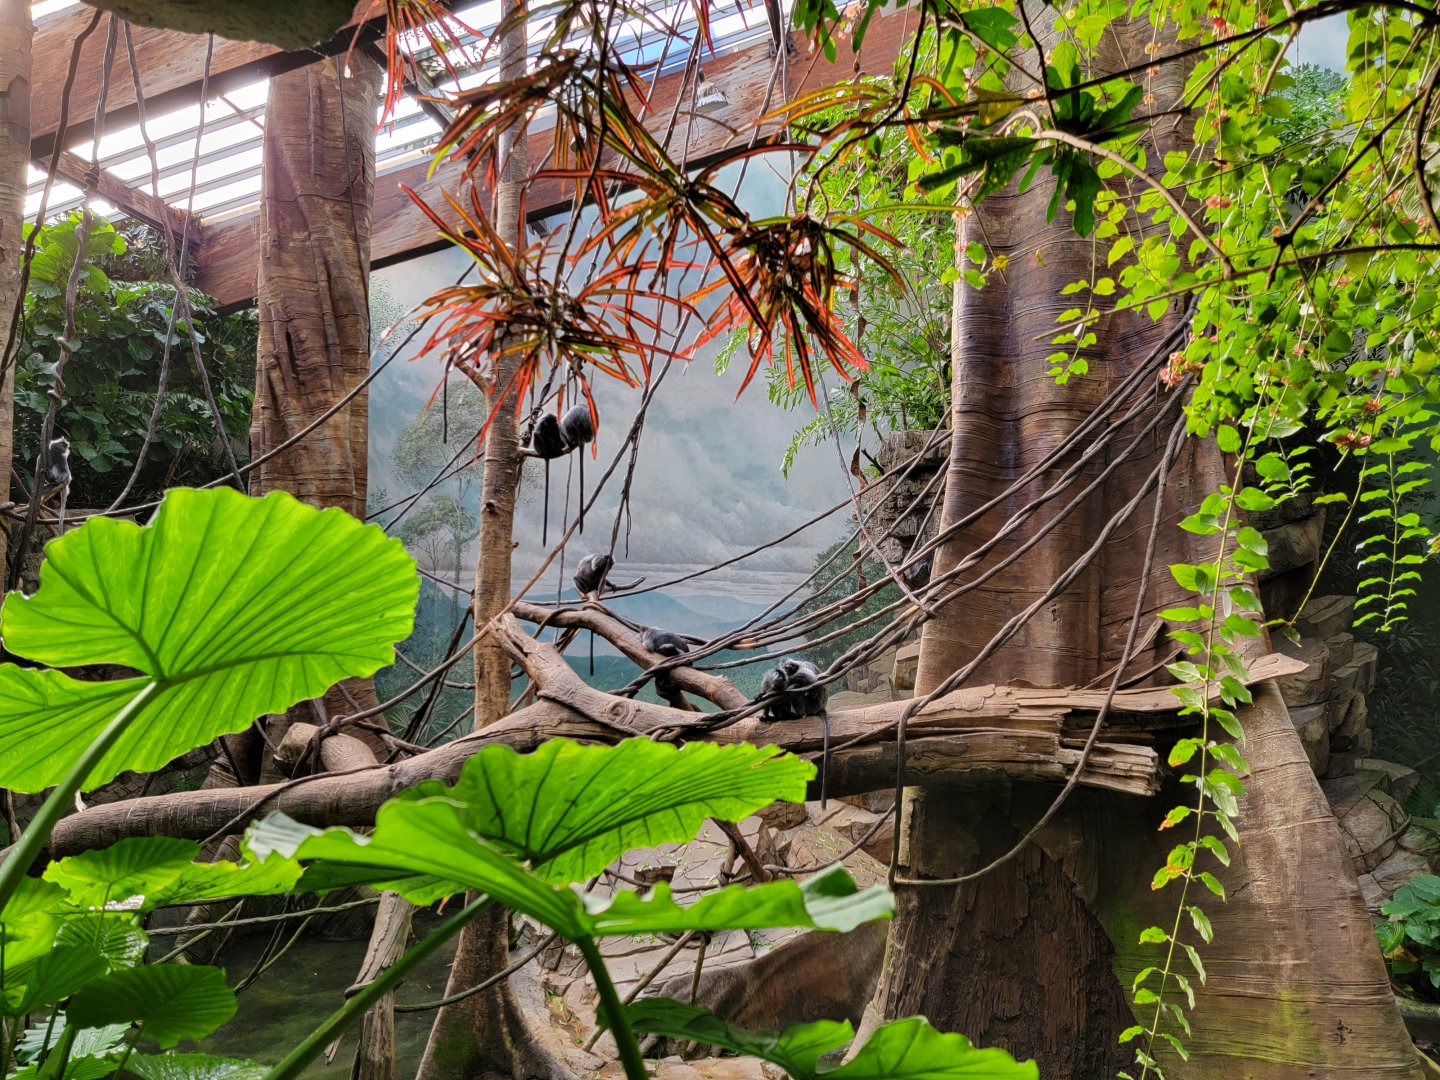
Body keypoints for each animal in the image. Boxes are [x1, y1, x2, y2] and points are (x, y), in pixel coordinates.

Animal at [756, 657, 830, 808]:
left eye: (788, 667)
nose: (785, 669)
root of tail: (820, 707)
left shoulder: (800, 670)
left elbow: (810, 679)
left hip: (810, 705)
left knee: (800, 695)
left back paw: (797, 714)